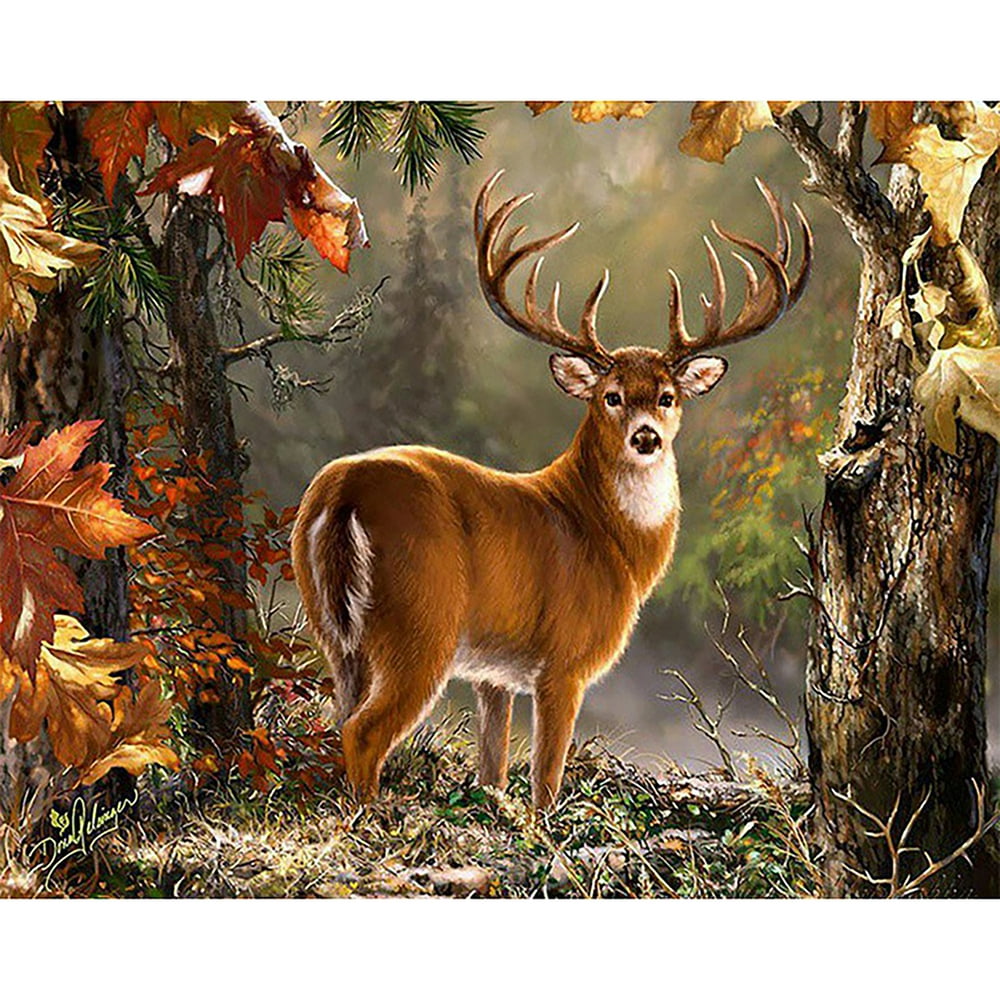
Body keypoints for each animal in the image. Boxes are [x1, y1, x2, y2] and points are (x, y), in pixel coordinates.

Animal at [291, 169, 812, 809]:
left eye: (668, 396)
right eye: (610, 395)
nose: (645, 437)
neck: (612, 542)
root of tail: (344, 492)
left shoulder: (492, 673)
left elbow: (492, 770)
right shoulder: (565, 661)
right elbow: (545, 779)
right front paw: (544, 828)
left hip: (333, 630)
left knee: (339, 717)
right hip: (422, 620)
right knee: (364, 731)